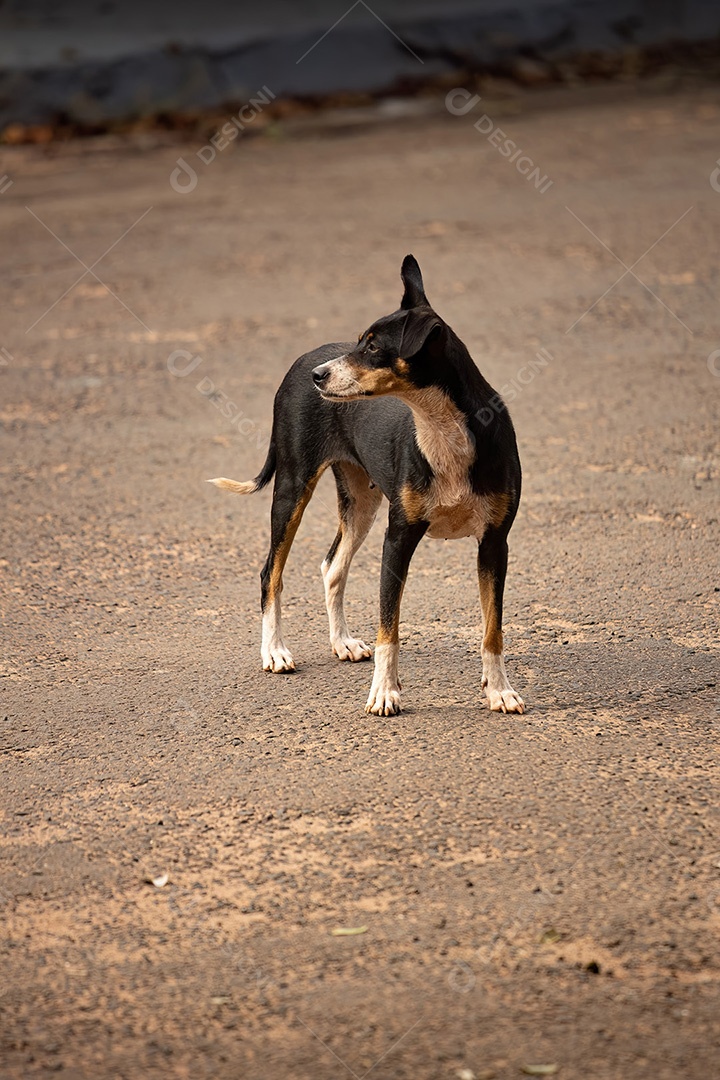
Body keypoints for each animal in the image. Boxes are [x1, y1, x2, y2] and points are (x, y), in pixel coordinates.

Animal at [208, 252, 524, 717]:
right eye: (360, 340)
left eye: (374, 347)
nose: (319, 376)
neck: (442, 429)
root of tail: (303, 358)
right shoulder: (398, 538)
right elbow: (389, 632)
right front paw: (385, 693)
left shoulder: (494, 543)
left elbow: (492, 630)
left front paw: (499, 690)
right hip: (293, 488)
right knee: (271, 572)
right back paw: (275, 652)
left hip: (361, 502)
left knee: (332, 566)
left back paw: (341, 642)